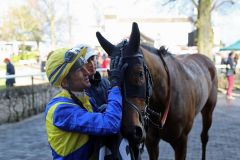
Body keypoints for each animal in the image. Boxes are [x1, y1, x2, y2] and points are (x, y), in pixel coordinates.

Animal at [95, 22, 218, 160]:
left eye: (140, 74)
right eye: (110, 76)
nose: (129, 130)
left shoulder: (181, 142)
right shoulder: (151, 141)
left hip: (208, 110)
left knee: (204, 136)